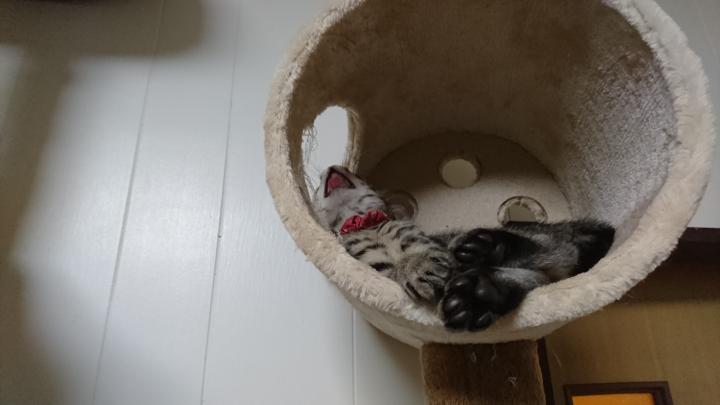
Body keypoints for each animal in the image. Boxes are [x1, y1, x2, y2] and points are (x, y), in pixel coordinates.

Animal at [311, 166, 615, 331]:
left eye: (355, 172)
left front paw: (416, 264)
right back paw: (478, 295)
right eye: (316, 186)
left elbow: (420, 254)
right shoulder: (373, 272)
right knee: (534, 276)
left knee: (541, 250)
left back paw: (490, 248)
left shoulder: (434, 247)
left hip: (527, 240)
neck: (367, 225)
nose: (335, 166)